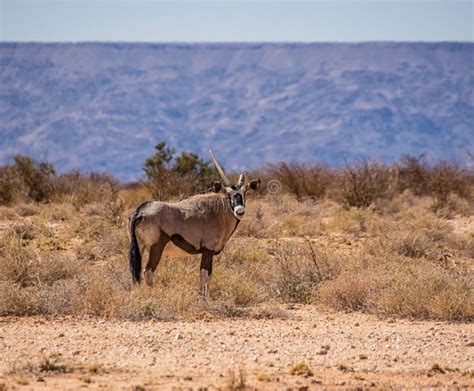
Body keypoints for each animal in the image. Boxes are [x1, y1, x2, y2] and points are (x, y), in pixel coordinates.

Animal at [128, 152, 262, 302]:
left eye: (244, 192)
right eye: (228, 194)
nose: (239, 211)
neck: (218, 212)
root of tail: (140, 211)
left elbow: (209, 274)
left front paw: (206, 298)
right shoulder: (208, 249)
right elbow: (205, 273)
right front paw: (204, 299)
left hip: (139, 247)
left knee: (135, 270)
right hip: (156, 248)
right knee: (148, 271)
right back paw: (153, 296)